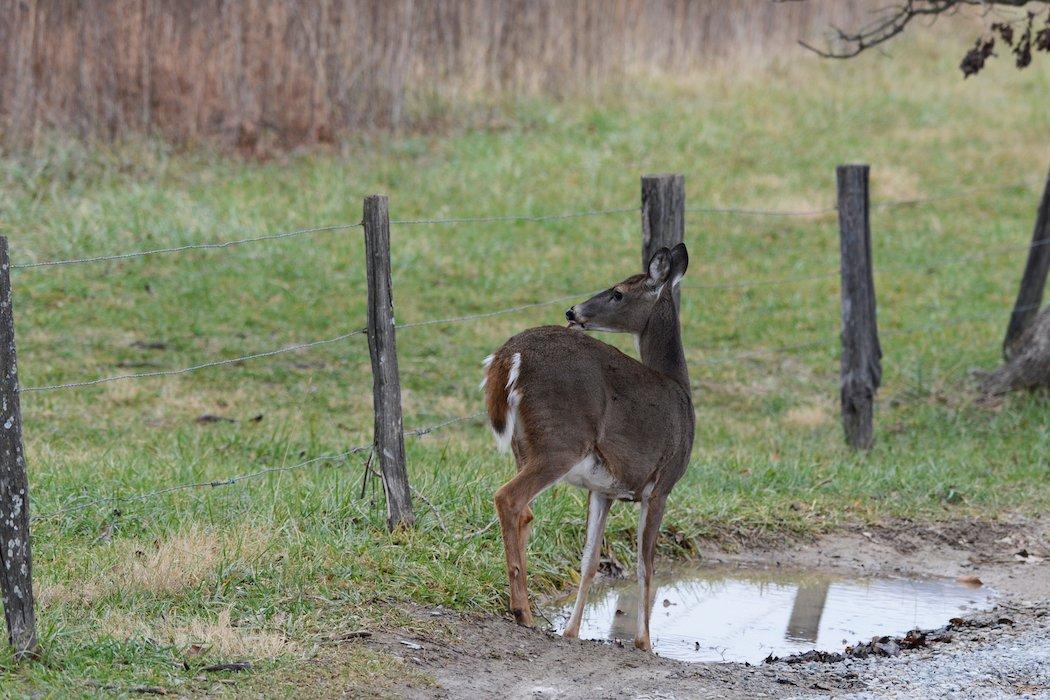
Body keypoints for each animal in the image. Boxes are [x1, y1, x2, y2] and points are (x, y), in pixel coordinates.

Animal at [480, 242, 692, 650]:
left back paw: (524, 607)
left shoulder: (604, 488)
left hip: (524, 445)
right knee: (508, 498)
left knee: (524, 511)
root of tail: (509, 355)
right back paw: (522, 611)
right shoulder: (663, 484)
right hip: (561, 440)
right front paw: (644, 642)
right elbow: (646, 564)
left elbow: (591, 559)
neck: (681, 391)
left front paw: (571, 630)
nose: (572, 311)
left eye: (618, 292)